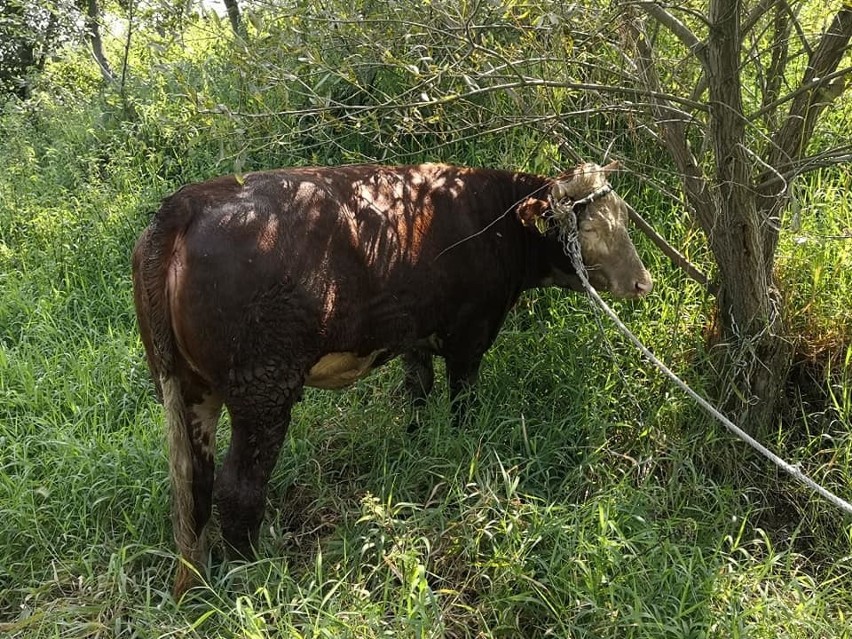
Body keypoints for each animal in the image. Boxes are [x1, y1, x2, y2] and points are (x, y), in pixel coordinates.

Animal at [131, 162, 652, 596]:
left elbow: (418, 395)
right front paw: (463, 448)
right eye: (588, 227)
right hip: (263, 390)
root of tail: (187, 204)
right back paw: (254, 576)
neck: (491, 218)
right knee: (238, 489)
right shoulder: (470, 335)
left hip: (188, 388)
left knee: (194, 485)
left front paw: (418, 444)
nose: (643, 283)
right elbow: (462, 404)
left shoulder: (414, 336)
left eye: (624, 218)